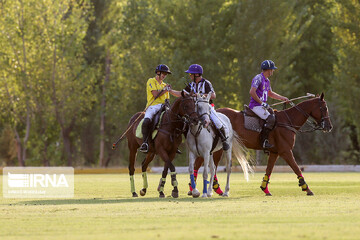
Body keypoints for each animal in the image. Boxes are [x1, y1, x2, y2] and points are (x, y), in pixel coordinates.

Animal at [194, 93, 332, 196]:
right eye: (324, 108)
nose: (329, 127)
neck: (288, 121)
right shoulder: (286, 151)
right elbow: (296, 168)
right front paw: (307, 189)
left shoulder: (275, 152)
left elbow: (269, 169)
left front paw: (265, 189)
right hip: (217, 147)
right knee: (203, 163)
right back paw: (202, 189)